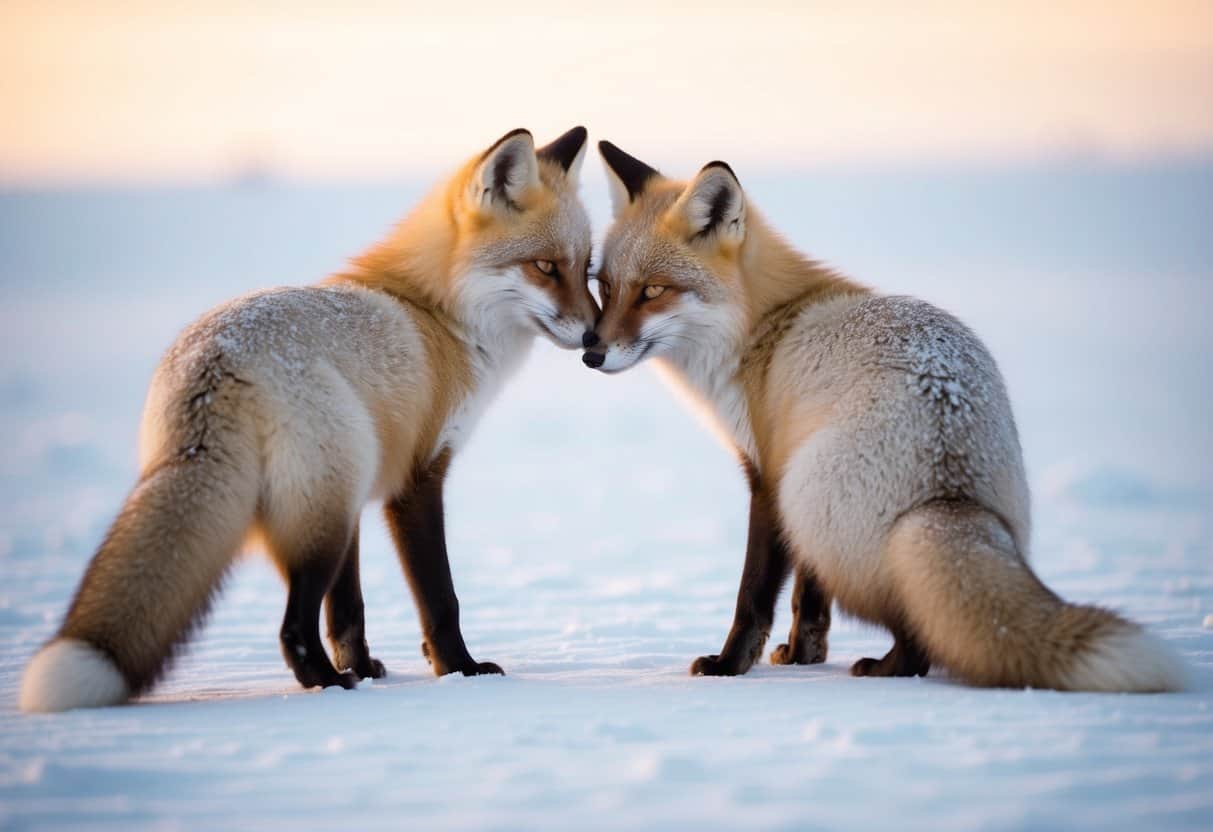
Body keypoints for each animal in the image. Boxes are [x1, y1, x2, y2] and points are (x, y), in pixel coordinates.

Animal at [19, 126, 599, 713]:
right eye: (545, 267)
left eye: (586, 267)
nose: (594, 338)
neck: (436, 314)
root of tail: (217, 360)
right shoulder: (416, 478)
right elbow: (440, 599)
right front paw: (460, 670)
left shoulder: (361, 493)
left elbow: (348, 610)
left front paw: (364, 667)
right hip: (322, 512)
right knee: (292, 627)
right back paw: (326, 684)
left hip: (322, 502)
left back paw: (337, 678)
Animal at [582, 140, 1186, 692]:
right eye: (605, 286)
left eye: (653, 291)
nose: (592, 353)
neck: (762, 328)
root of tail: (950, 492)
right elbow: (810, 601)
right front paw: (804, 657)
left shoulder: (770, 477)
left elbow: (755, 596)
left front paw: (729, 667)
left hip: (808, 498)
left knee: (918, 636)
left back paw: (886, 669)